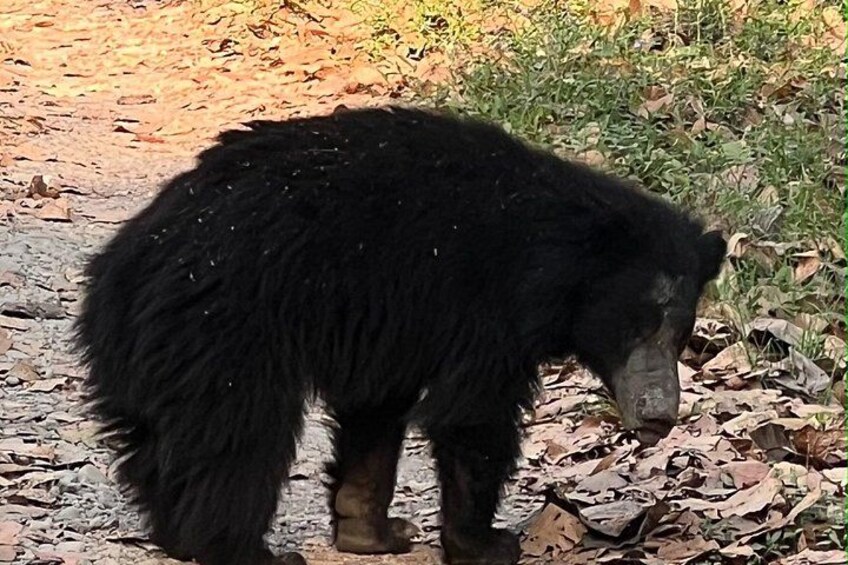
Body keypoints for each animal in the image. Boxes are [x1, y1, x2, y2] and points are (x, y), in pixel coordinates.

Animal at [74, 106, 726, 565]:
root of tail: (126, 263)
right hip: (226, 326)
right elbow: (472, 416)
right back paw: (240, 548)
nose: (659, 414)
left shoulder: (389, 323)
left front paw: (374, 530)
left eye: (681, 332)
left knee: (160, 442)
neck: (562, 257)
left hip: (155, 353)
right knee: (238, 437)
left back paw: (177, 534)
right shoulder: (486, 306)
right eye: (635, 324)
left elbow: (375, 409)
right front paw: (485, 542)